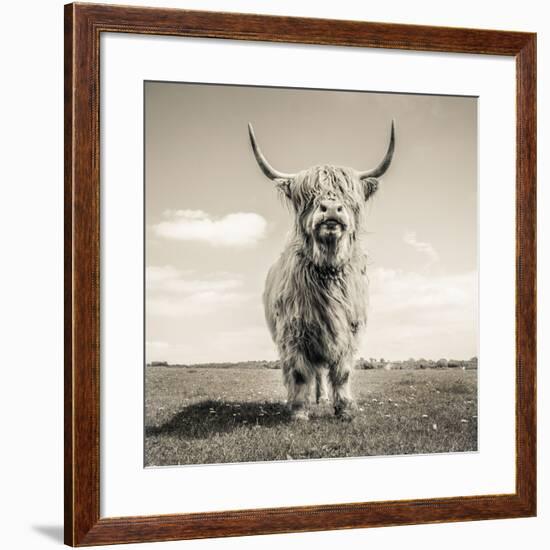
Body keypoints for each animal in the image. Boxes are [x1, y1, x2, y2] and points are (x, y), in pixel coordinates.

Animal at [248, 122, 394, 422]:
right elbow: (299, 372)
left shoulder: (350, 331)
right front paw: (299, 412)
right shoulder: (293, 333)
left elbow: (342, 372)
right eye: (307, 196)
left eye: (350, 196)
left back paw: (323, 398)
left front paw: (345, 409)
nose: (331, 210)